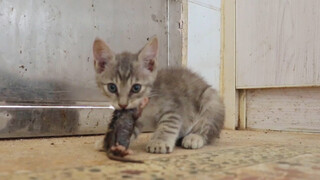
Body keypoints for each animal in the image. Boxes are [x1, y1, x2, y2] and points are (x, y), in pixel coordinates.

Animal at [91, 36, 224, 153]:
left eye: (136, 88)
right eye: (112, 87)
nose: (123, 104)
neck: (148, 102)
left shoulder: (173, 109)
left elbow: (168, 126)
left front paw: (159, 142)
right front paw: (107, 142)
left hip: (210, 99)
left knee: (208, 127)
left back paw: (195, 137)